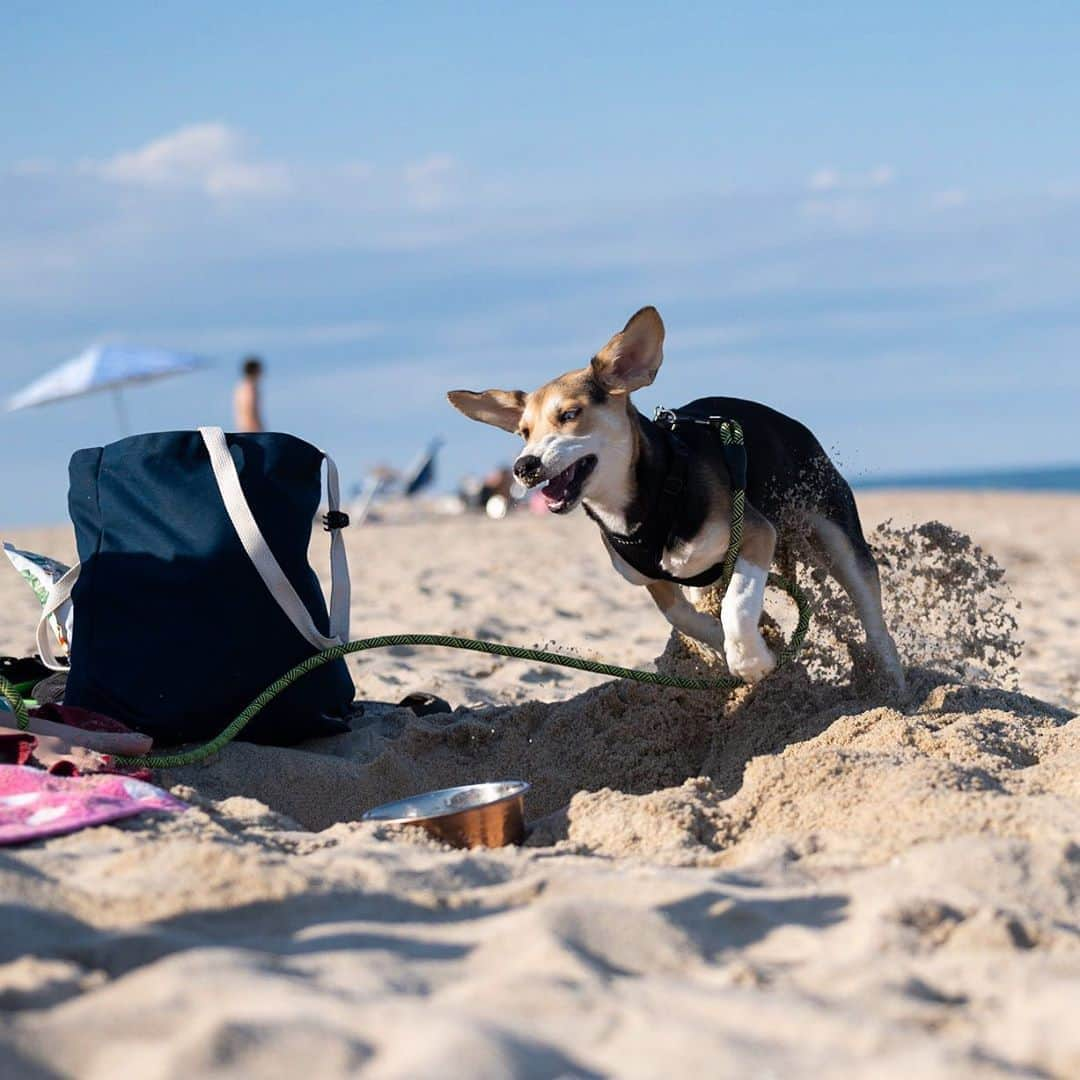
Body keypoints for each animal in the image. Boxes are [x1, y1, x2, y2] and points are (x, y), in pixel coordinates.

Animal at [447, 304, 902, 686]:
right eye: (524, 433)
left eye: (570, 415)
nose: (523, 466)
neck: (647, 500)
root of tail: (796, 427)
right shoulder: (650, 579)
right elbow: (685, 618)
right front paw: (726, 644)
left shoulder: (756, 534)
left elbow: (737, 603)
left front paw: (751, 660)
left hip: (837, 537)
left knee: (874, 620)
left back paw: (893, 683)